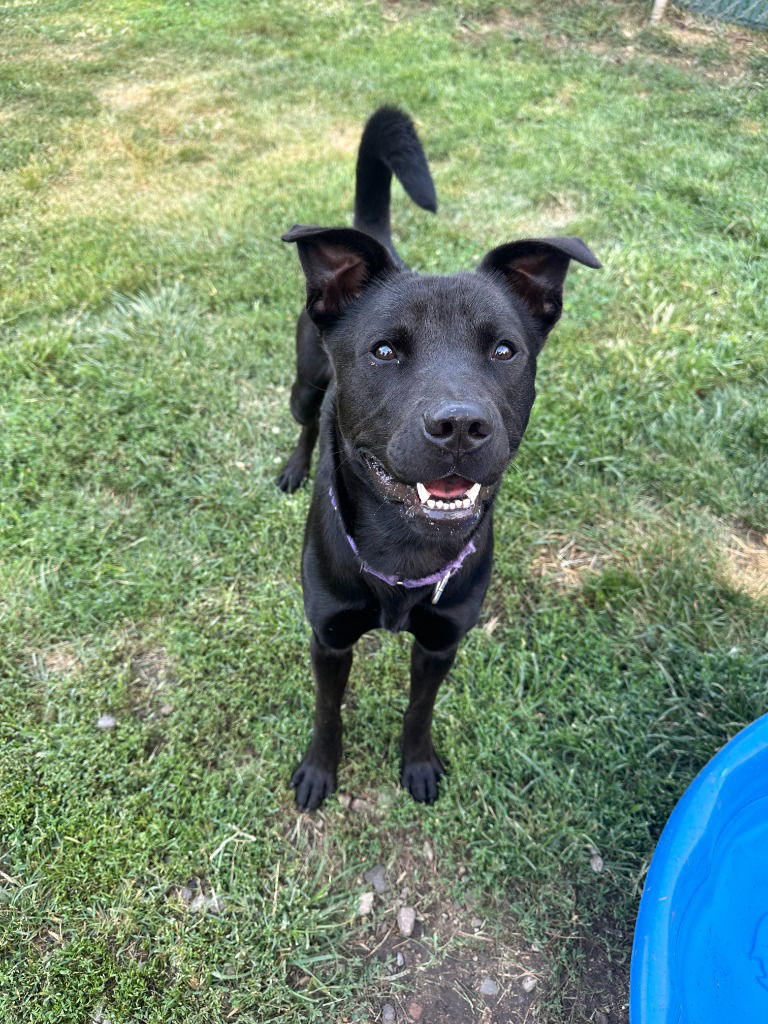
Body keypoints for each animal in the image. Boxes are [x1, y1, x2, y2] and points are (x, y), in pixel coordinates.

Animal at [276, 108, 602, 811]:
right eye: (384, 351)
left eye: (505, 351)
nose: (459, 427)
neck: (405, 547)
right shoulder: (329, 639)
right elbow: (327, 712)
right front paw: (319, 771)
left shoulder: (441, 642)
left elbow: (419, 710)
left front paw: (419, 764)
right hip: (305, 382)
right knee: (306, 421)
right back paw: (293, 467)